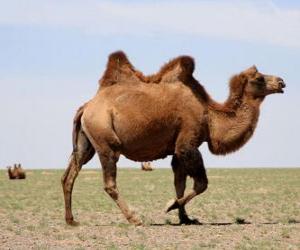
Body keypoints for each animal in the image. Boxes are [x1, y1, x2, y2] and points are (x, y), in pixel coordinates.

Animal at [61, 51, 286, 227]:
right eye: (259, 78)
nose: (281, 81)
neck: (209, 116)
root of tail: (86, 106)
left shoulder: (177, 149)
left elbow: (180, 183)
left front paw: (186, 218)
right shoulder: (187, 143)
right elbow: (201, 183)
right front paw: (170, 205)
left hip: (86, 143)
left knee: (70, 174)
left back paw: (72, 220)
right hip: (105, 140)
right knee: (109, 182)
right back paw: (134, 218)